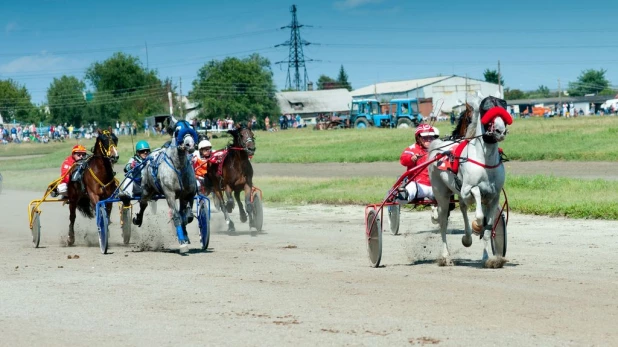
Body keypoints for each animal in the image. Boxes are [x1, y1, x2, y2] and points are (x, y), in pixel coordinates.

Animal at [428, 93, 510, 270]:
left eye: (503, 106)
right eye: (486, 109)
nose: (500, 130)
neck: (485, 161)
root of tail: (436, 147)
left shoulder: (494, 197)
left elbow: (488, 228)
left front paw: (489, 258)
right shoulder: (467, 190)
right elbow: (478, 209)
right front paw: (477, 226)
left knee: (463, 208)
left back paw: (467, 238)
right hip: (442, 194)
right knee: (443, 222)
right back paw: (445, 257)